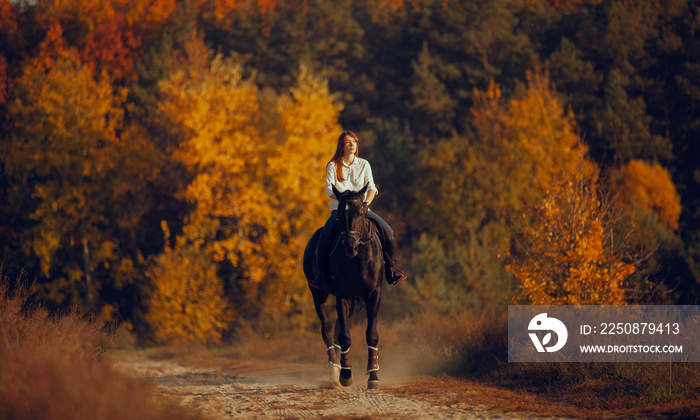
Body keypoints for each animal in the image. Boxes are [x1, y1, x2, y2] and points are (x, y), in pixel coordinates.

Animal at [300, 185, 382, 388]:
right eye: (340, 215)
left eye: (361, 212)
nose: (349, 246)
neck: (358, 259)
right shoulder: (342, 295)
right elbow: (345, 336)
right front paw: (346, 375)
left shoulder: (374, 294)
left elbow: (371, 334)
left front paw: (373, 377)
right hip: (318, 293)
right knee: (328, 329)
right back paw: (333, 369)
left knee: (337, 327)